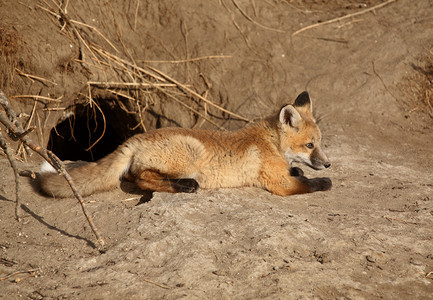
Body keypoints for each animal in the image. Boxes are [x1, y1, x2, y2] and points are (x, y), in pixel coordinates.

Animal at [40, 92, 330, 198]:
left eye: (319, 143)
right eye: (309, 145)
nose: (328, 164)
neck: (270, 142)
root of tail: (135, 137)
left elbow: (296, 171)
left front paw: (299, 169)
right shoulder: (279, 184)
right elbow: (308, 184)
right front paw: (323, 181)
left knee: (134, 177)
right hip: (189, 158)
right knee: (141, 178)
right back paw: (184, 186)